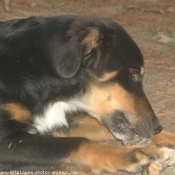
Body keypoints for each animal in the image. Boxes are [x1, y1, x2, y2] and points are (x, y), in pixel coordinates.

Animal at [0, 15, 174, 174]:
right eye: (134, 72)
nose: (157, 128)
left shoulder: (59, 121)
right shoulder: (7, 140)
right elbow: (78, 143)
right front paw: (139, 153)